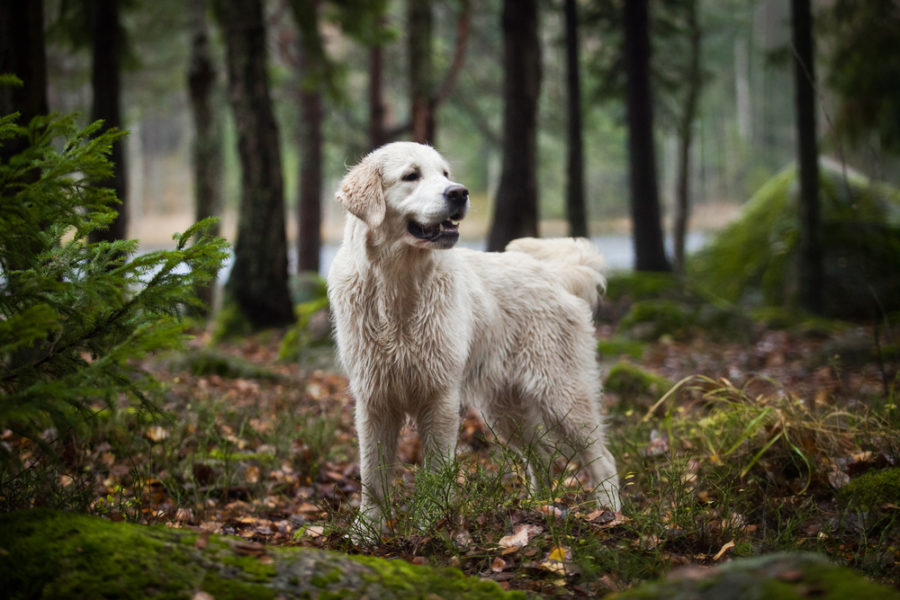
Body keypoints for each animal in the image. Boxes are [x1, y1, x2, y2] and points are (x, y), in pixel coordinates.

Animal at [328, 142, 620, 536]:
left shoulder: (439, 397)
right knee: (543, 454)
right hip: (504, 410)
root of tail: (552, 272)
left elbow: (436, 470)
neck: (397, 285)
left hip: (561, 395)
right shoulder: (374, 400)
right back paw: (538, 508)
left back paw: (611, 514)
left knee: (602, 458)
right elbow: (373, 476)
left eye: (446, 174)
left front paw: (429, 524)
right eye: (411, 175)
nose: (459, 193)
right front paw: (366, 532)